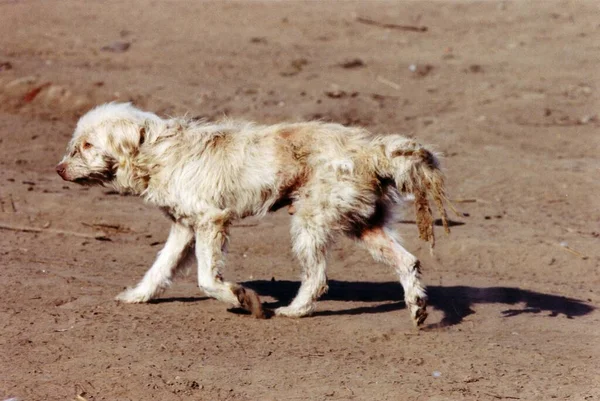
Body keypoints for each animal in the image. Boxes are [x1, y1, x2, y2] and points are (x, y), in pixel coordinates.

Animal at [57, 103, 450, 324]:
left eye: (86, 146)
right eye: (74, 146)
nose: (58, 170)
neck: (157, 152)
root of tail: (370, 150)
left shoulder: (211, 221)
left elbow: (206, 279)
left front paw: (240, 299)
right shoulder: (184, 228)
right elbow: (160, 268)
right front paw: (138, 296)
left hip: (309, 222)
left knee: (317, 279)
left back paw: (292, 311)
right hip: (363, 225)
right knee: (408, 261)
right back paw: (417, 306)